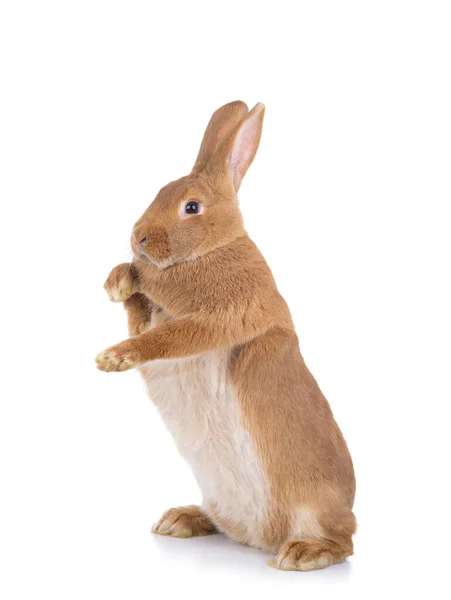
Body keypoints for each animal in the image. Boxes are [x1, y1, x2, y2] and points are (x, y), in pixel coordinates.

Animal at [96, 102, 356, 572]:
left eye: (191, 207)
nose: (139, 238)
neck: (213, 248)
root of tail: (261, 539)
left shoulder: (219, 319)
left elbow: (165, 337)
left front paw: (112, 357)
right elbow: (139, 311)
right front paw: (118, 280)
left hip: (317, 507)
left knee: (343, 543)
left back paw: (302, 554)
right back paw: (180, 519)